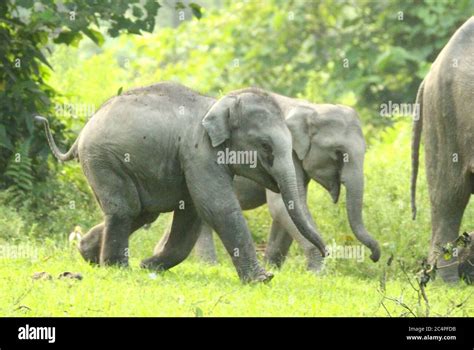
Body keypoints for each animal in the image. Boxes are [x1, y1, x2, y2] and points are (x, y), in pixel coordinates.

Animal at [37, 80, 328, 284]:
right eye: (266, 146)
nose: (326, 251)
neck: (218, 104)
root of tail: (83, 131)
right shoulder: (199, 153)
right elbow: (217, 207)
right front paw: (262, 279)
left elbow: (192, 214)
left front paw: (148, 266)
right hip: (103, 160)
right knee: (124, 209)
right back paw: (116, 267)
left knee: (142, 213)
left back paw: (88, 255)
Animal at [184, 93, 378, 274]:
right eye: (338, 153)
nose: (373, 257)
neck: (311, 108)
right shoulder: (286, 153)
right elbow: (282, 206)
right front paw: (317, 273)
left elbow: (289, 209)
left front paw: (272, 268)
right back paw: (209, 265)